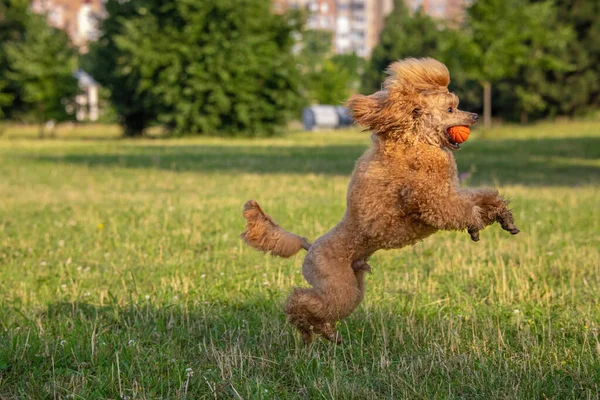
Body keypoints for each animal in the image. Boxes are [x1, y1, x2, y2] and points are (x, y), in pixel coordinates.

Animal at [241, 57, 516, 344]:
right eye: (451, 109)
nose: (475, 116)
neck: (414, 141)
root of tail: (310, 246)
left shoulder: (450, 191)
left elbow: (480, 197)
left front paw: (502, 215)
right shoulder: (429, 201)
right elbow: (459, 210)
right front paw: (476, 223)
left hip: (353, 287)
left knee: (326, 307)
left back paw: (327, 333)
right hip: (335, 283)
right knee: (301, 300)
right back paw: (306, 327)